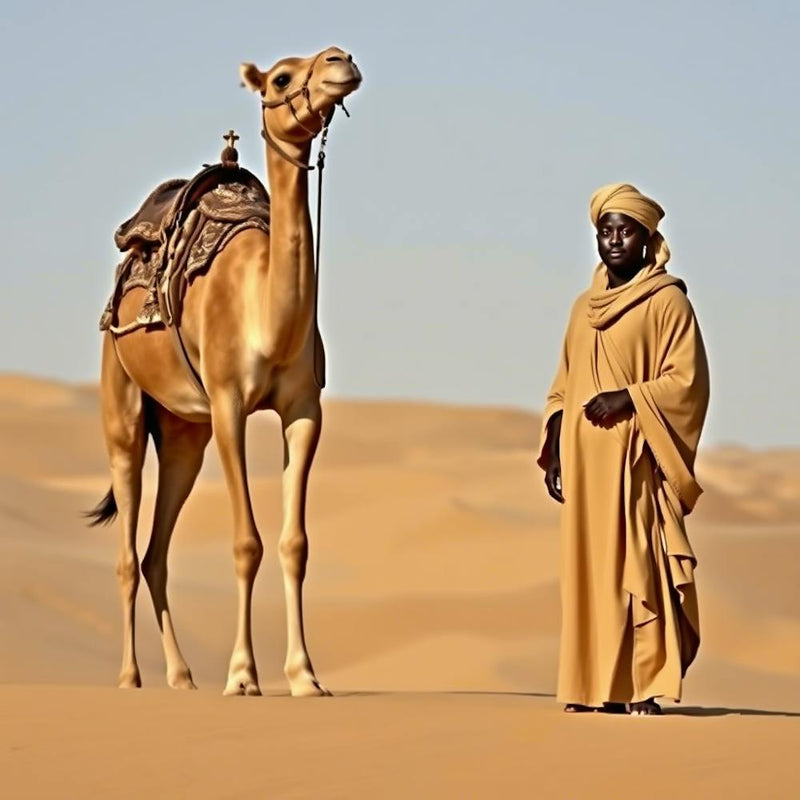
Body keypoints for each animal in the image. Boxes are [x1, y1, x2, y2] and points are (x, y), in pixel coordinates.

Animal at [89, 46, 362, 697]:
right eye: (282, 77)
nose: (342, 61)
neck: (265, 313)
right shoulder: (229, 404)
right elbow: (245, 542)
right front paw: (242, 676)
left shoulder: (303, 410)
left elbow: (294, 543)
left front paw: (305, 676)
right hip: (123, 406)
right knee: (127, 552)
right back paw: (131, 677)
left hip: (185, 432)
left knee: (155, 553)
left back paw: (183, 676)